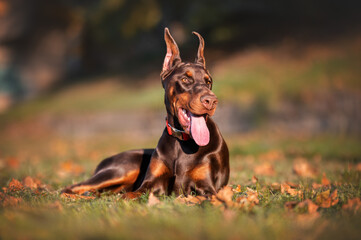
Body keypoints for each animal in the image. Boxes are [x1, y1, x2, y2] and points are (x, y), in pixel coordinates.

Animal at [62, 28, 229, 197]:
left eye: (208, 81)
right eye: (185, 79)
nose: (211, 101)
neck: (181, 141)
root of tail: (105, 161)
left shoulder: (207, 188)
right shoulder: (149, 183)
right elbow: (130, 195)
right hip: (123, 169)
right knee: (71, 188)